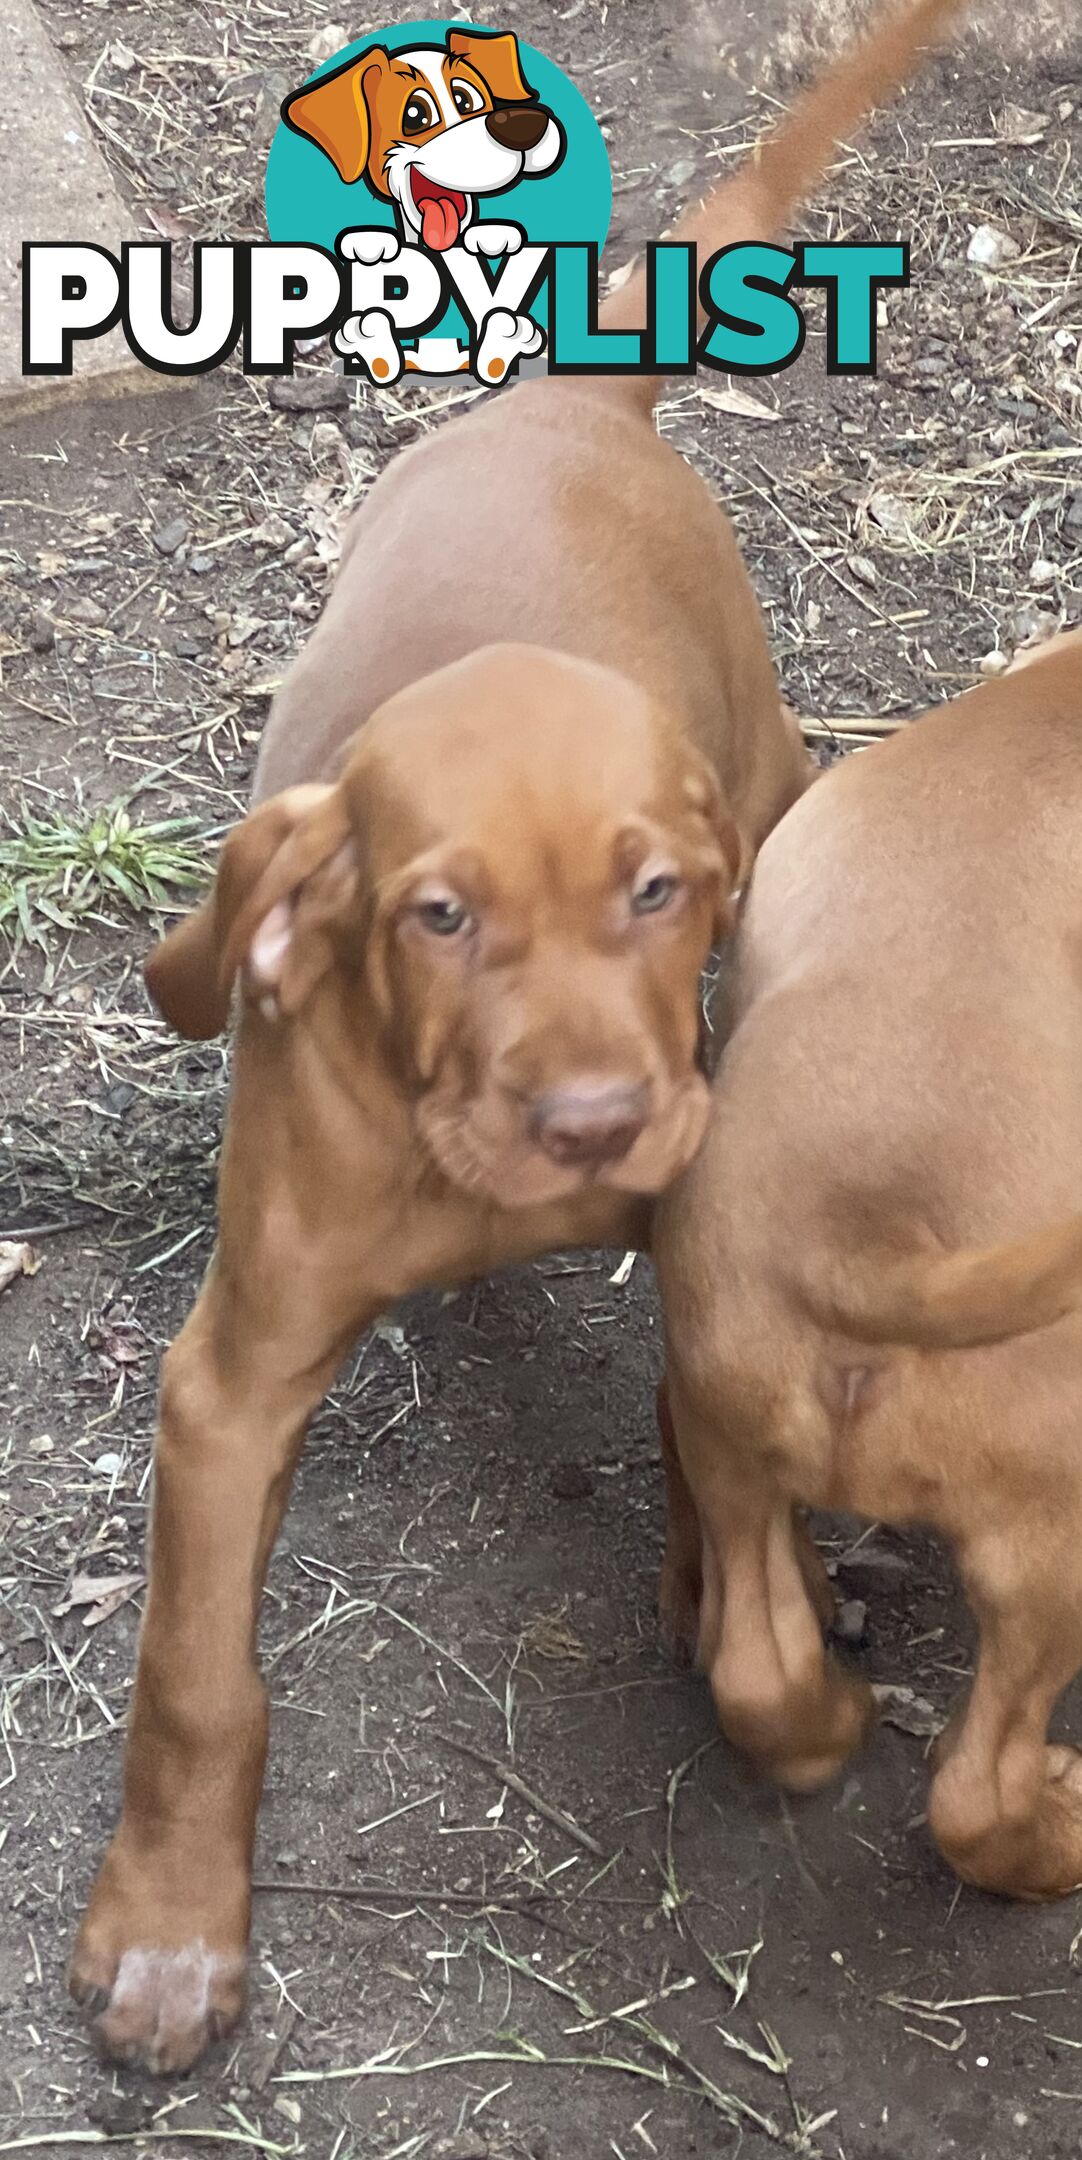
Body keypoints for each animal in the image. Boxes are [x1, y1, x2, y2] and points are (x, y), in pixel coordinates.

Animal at [69, 0, 963, 2064]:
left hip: (774, 781)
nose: (592, 1121)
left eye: (655, 894)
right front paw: (167, 1928)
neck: (462, 1162)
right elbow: (193, 1679)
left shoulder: (703, 1242)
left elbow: (738, 1562)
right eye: (436, 916)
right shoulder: (228, 1388)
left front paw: (780, 1666)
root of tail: (581, 410)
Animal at [652, 630, 1079, 1900]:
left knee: (756, 1672)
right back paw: (1058, 1831)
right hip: (1053, 1546)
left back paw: (830, 1713)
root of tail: (873, 1238)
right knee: (975, 1792)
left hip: (729, 1446)